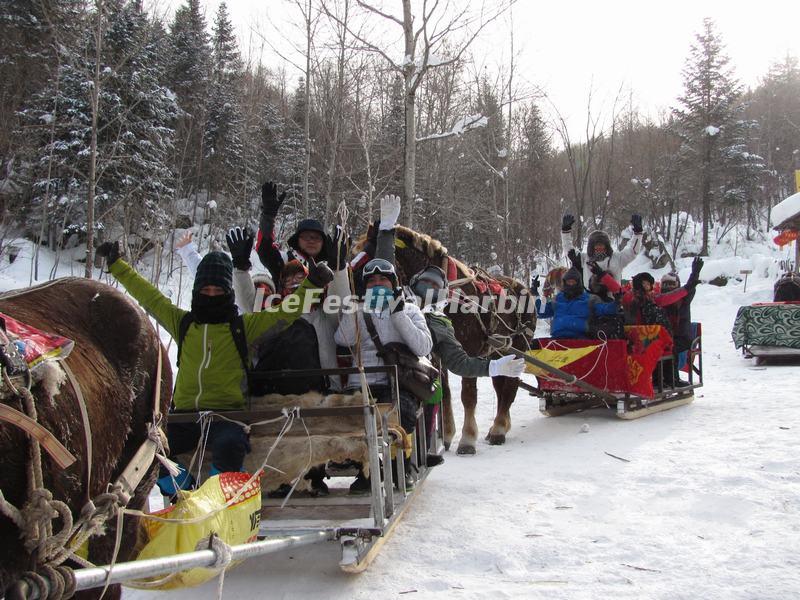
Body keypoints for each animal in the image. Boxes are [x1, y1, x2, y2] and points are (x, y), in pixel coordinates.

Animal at [354, 226, 532, 454]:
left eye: (366, 260)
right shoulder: (439, 355)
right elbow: (446, 393)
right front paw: (447, 435)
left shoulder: (468, 350)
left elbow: (468, 395)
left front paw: (467, 439)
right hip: (499, 351)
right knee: (501, 384)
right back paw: (498, 427)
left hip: (519, 347)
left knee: (510, 386)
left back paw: (499, 430)